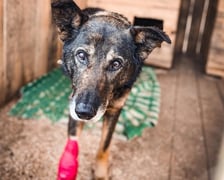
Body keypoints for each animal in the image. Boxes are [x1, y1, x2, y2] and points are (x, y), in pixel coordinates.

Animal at [51, 0, 170, 179]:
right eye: (81, 55)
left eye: (116, 64)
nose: (84, 112)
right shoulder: (74, 103)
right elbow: (73, 136)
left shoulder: (115, 110)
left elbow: (105, 144)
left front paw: (100, 171)